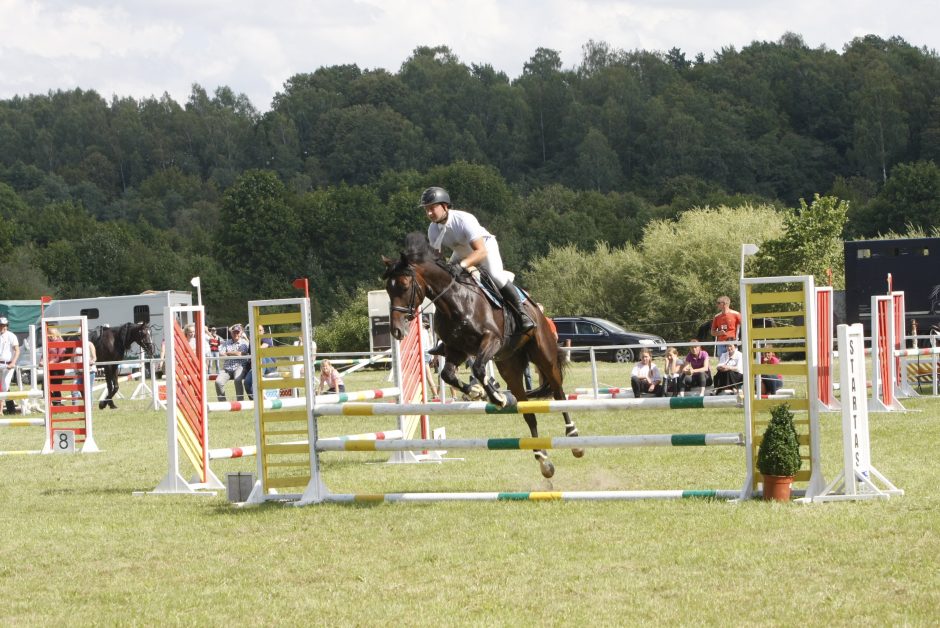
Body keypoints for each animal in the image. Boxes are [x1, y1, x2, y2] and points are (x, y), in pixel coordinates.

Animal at [382, 233, 580, 478]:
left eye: (404, 286)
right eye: (388, 289)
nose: (397, 331)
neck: (456, 301)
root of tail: (536, 309)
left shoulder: (491, 340)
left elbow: (477, 368)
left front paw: (496, 397)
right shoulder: (456, 351)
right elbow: (448, 375)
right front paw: (477, 391)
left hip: (544, 355)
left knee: (559, 392)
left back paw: (574, 439)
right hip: (509, 365)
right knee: (527, 411)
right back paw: (543, 460)